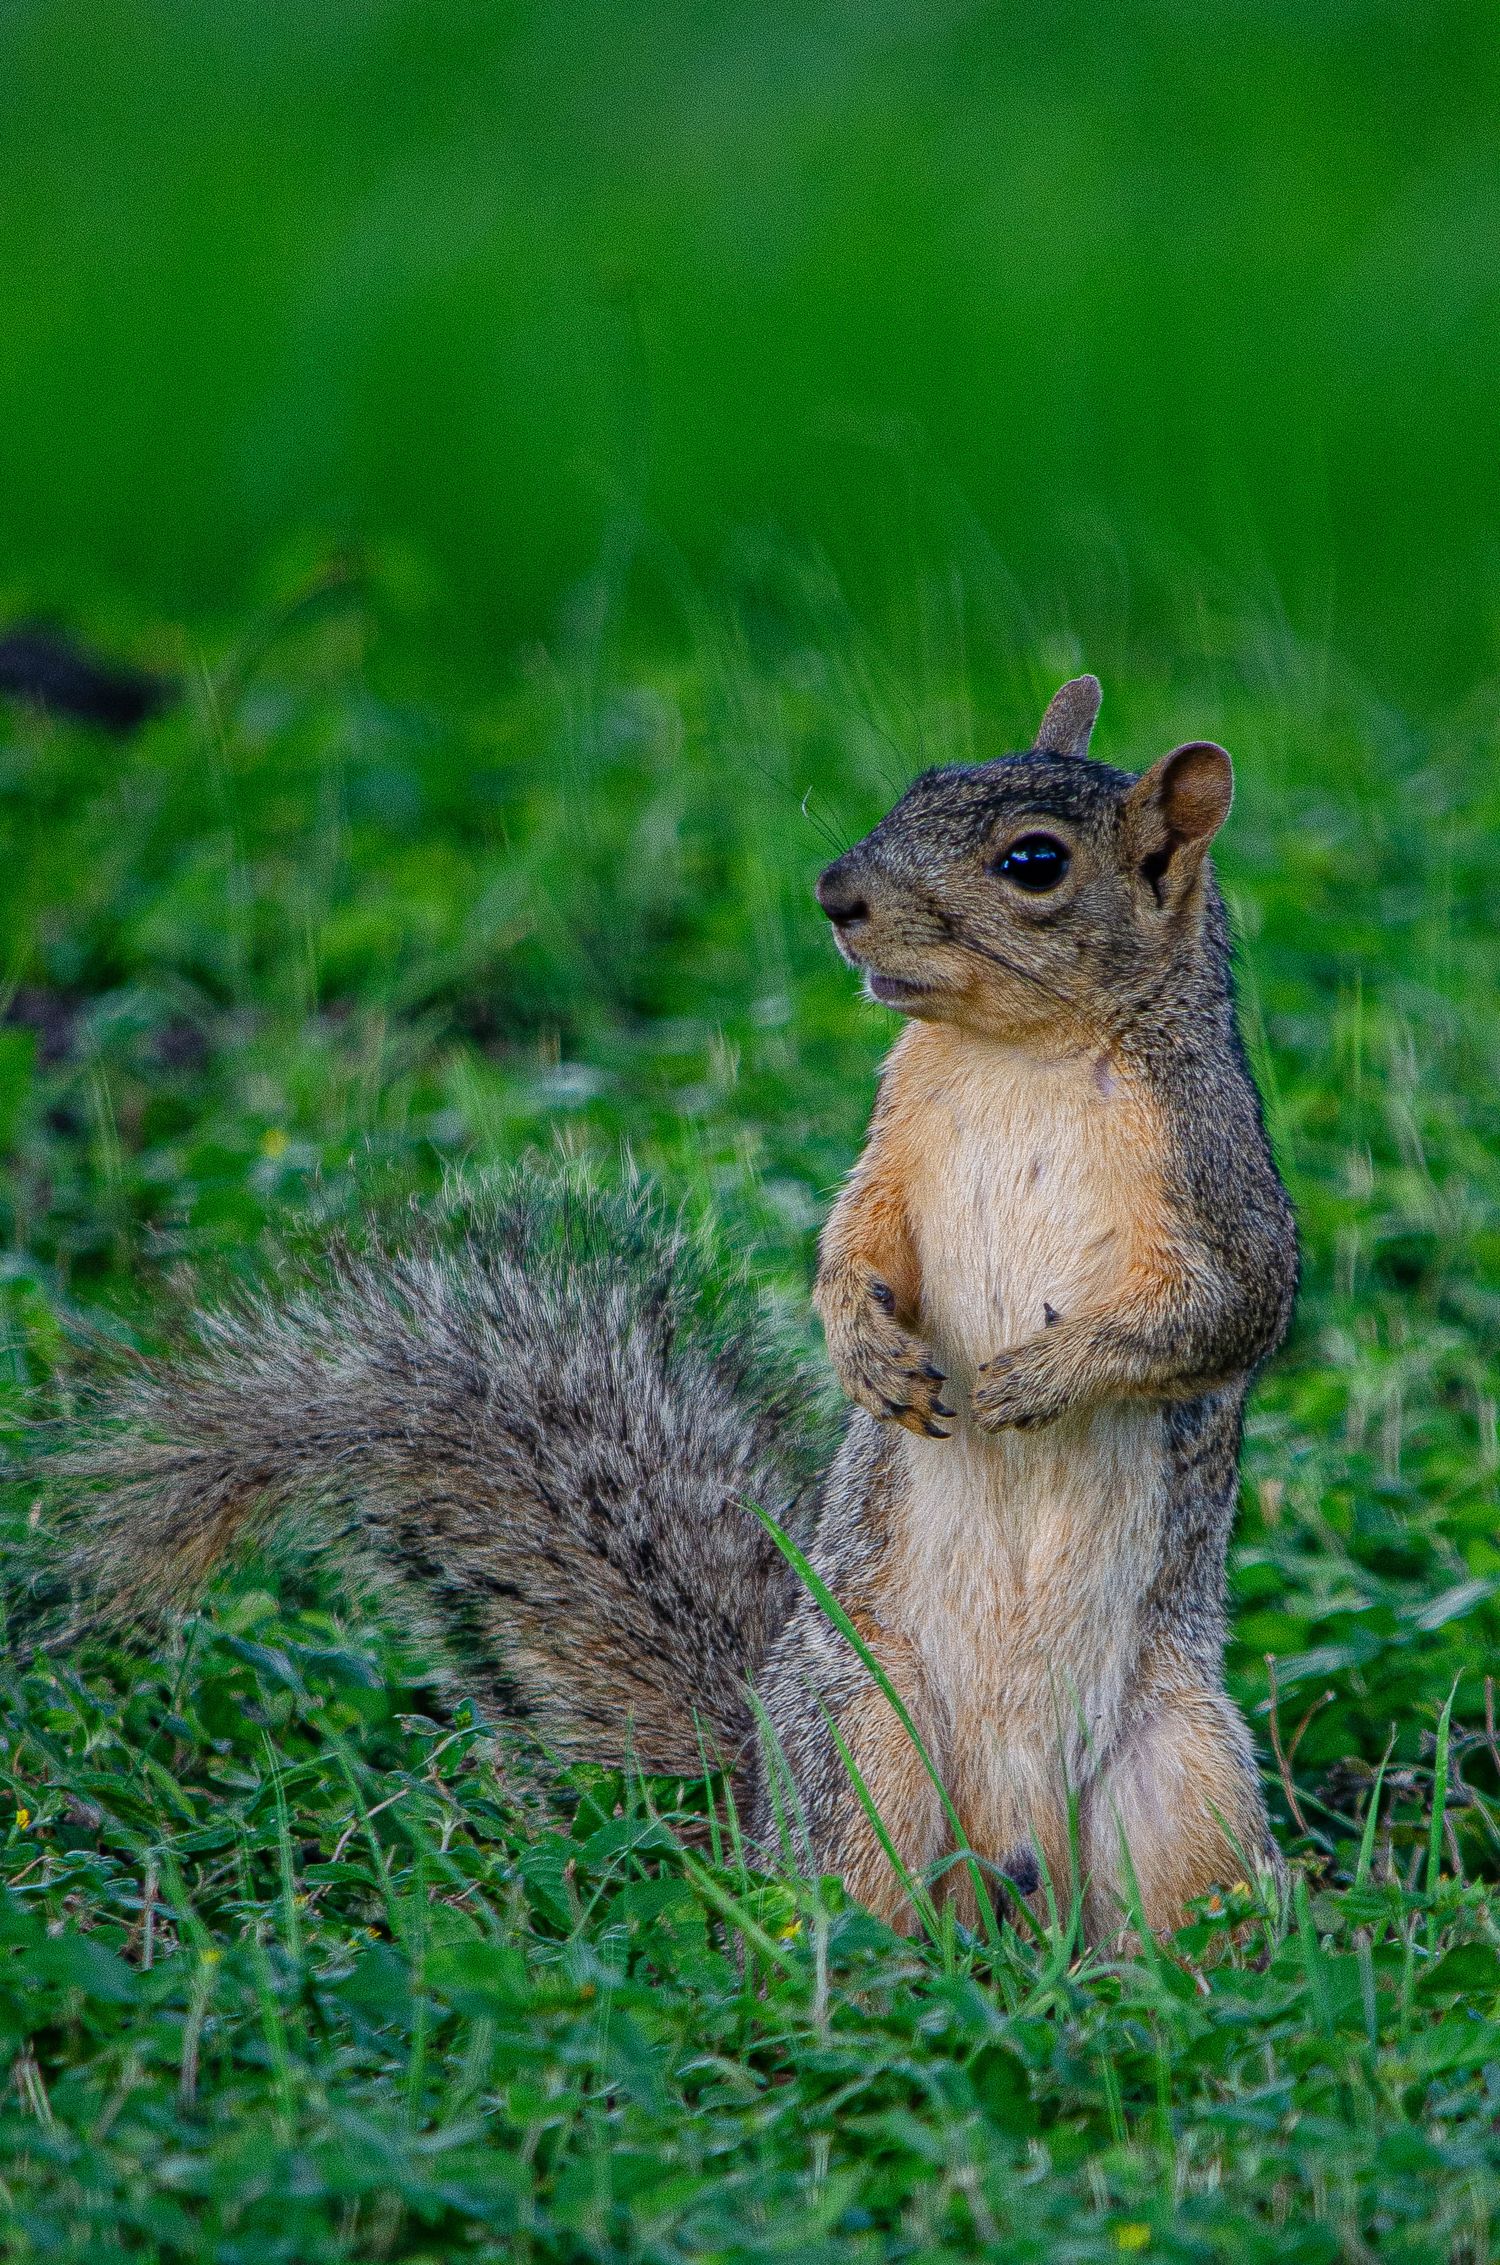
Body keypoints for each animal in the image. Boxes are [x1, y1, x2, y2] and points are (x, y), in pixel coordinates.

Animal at [44, 675, 1296, 1942]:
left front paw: (1035, 1377)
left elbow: (1221, 1317)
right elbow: (850, 1245)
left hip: (1182, 1779)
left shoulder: (1219, 1188)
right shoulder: (895, 1136)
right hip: (862, 1739)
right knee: (849, 1896)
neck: (1018, 1056)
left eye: (1034, 862)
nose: (836, 894)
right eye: (922, 784)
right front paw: (865, 1352)